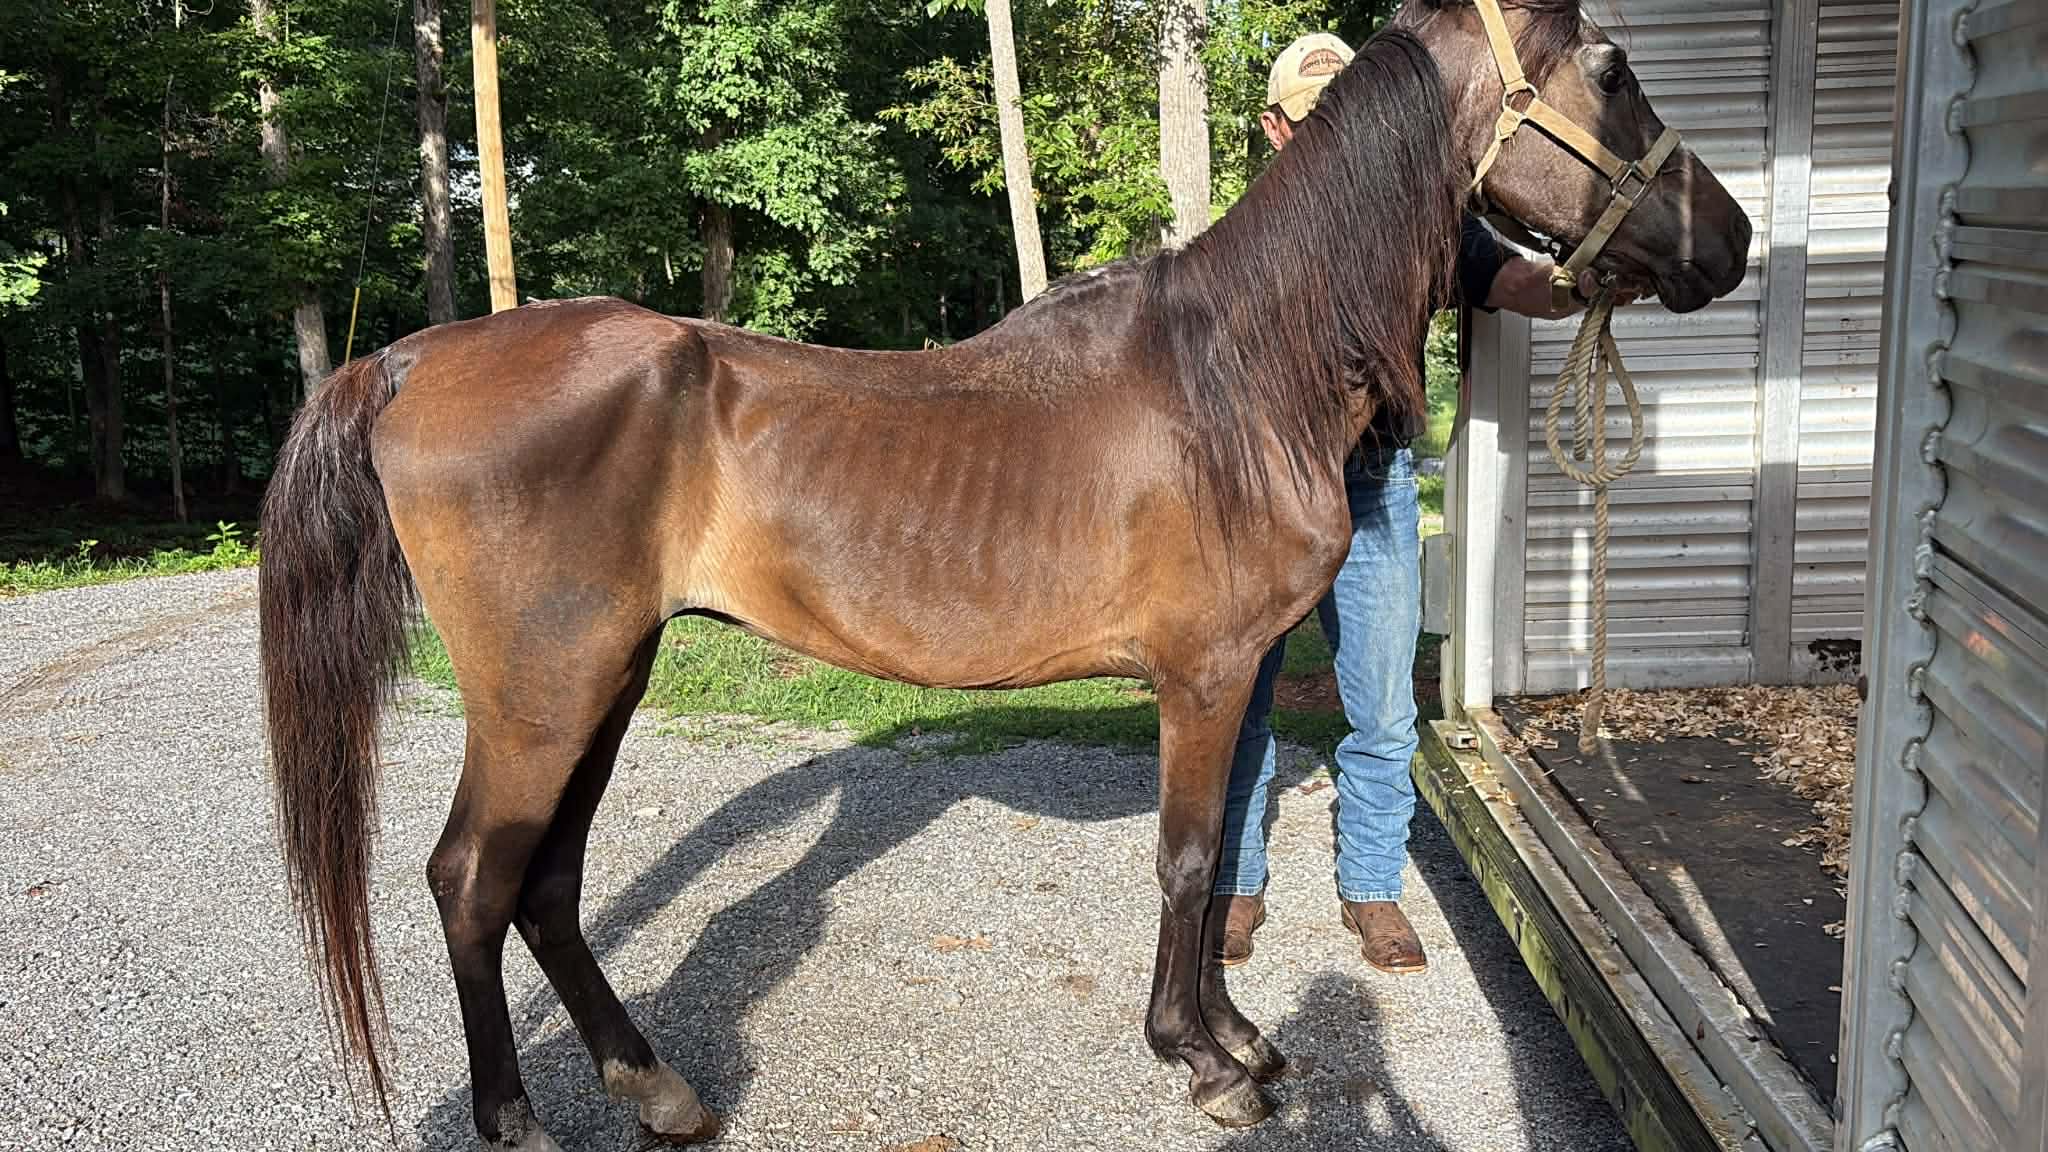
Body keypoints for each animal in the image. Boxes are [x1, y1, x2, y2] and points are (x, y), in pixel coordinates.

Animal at [257, 3, 1750, 1146]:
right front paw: (1201, 1062)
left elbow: (1219, 860)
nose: (1728, 242)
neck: (1240, 372)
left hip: (604, 679)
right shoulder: (1202, 675)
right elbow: (1188, 859)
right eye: (1611, 69)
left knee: (547, 887)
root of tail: (410, 360)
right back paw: (516, 1118)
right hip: (541, 696)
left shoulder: (1243, 672)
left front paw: (1241, 1040)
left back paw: (658, 1089)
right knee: (472, 882)